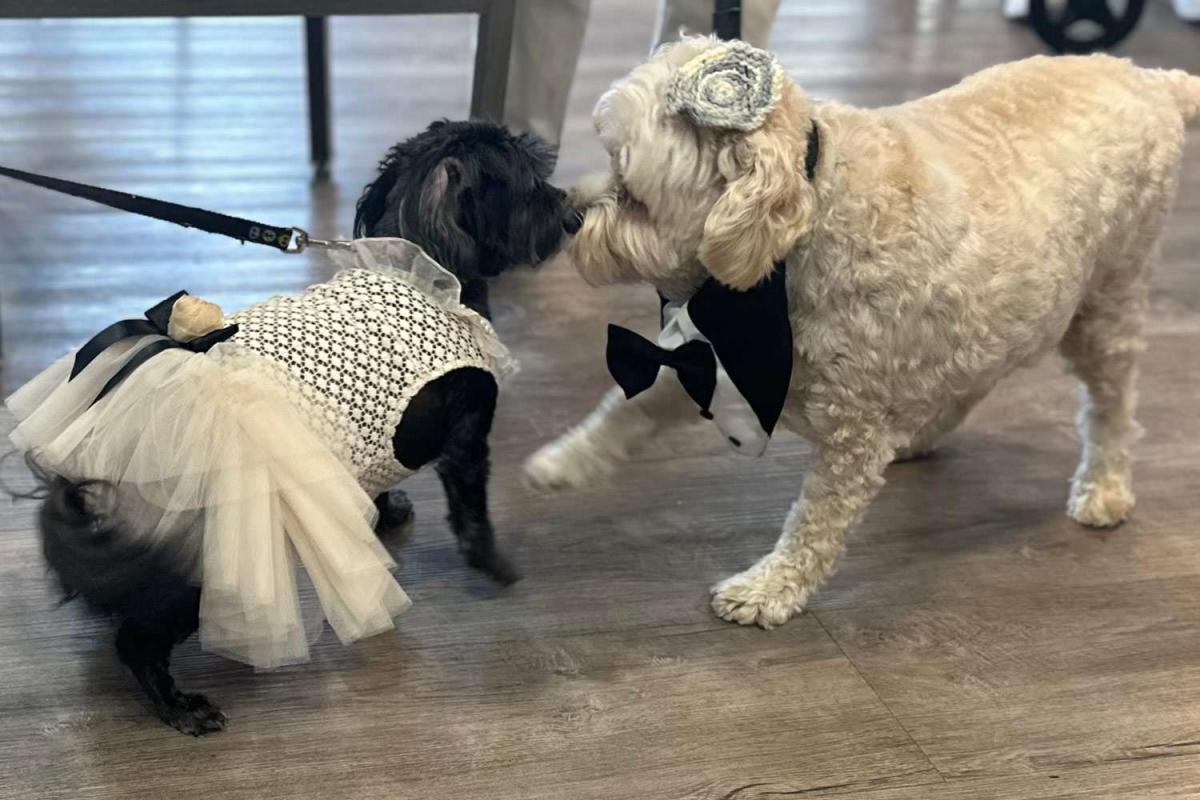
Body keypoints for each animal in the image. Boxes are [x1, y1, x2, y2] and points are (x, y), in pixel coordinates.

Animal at [35, 115, 578, 734]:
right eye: (533, 186)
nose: (576, 216)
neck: (421, 267)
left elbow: (377, 482)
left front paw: (383, 516)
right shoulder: (467, 439)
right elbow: (473, 513)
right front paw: (495, 564)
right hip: (195, 565)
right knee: (137, 641)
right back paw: (179, 706)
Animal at [528, 37, 1200, 628]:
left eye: (633, 192)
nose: (565, 214)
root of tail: (1150, 79)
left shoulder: (853, 430)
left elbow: (815, 524)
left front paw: (768, 590)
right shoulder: (709, 353)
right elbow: (626, 408)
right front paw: (560, 463)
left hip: (1107, 302)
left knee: (1112, 405)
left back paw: (1104, 487)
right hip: (990, 307)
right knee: (977, 370)